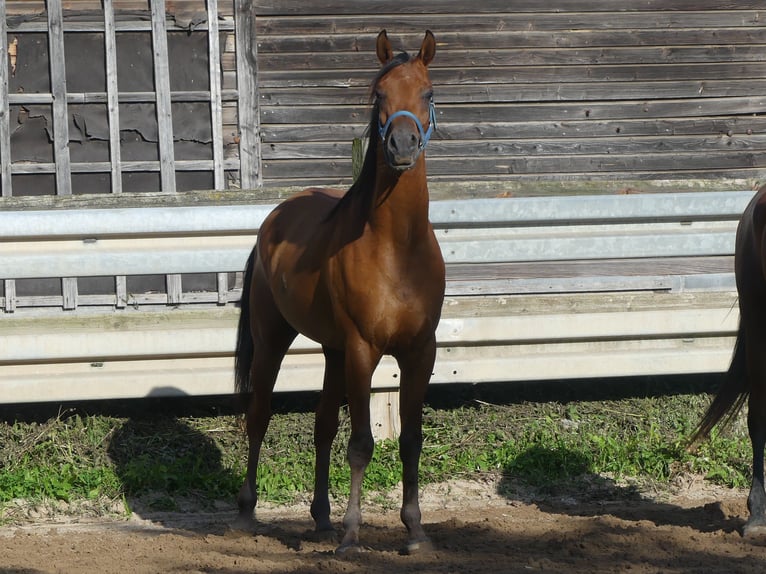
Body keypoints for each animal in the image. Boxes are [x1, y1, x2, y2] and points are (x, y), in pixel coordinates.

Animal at [233, 30, 445, 554]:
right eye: (379, 94)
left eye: (428, 93)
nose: (403, 144)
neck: (397, 248)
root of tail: (273, 218)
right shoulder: (364, 350)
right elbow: (362, 444)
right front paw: (352, 534)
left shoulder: (420, 352)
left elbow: (410, 440)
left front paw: (415, 532)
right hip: (275, 342)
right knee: (259, 416)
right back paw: (247, 512)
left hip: (332, 352)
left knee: (322, 426)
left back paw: (321, 517)